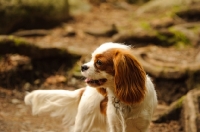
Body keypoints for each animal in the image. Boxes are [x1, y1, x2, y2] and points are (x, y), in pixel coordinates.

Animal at [24, 42, 157, 132]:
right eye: (92, 58)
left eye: (99, 62)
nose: (82, 66)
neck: (122, 99)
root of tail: (85, 90)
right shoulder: (114, 125)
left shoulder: (142, 127)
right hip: (83, 124)